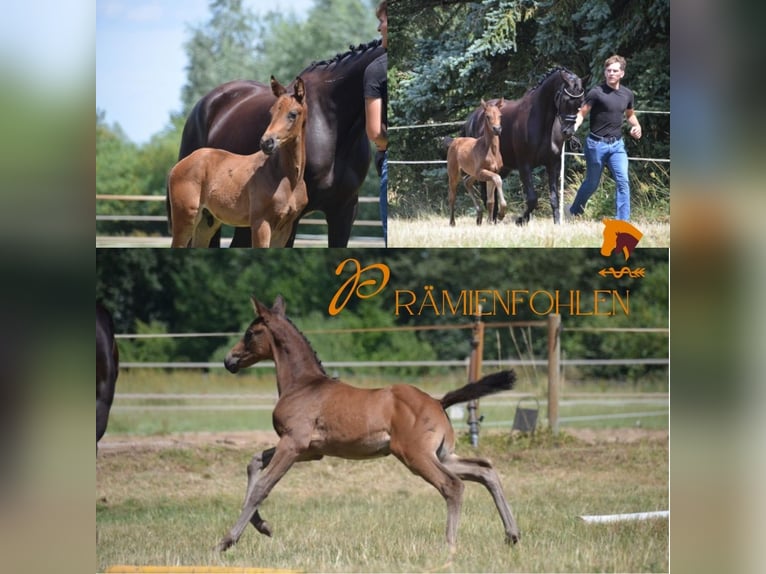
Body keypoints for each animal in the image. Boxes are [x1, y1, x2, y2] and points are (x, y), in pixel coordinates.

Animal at [168, 77, 308, 248]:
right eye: (272, 112)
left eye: (292, 114)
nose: (266, 143)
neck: (286, 177)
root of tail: (179, 165)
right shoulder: (261, 223)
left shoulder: (285, 228)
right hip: (186, 218)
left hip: (205, 223)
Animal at [216, 295, 521, 554]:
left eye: (250, 333)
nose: (228, 360)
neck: (303, 385)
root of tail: (437, 401)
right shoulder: (310, 451)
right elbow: (254, 462)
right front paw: (263, 526)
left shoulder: (293, 443)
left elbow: (262, 487)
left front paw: (227, 540)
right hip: (442, 454)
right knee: (484, 470)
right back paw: (512, 534)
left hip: (416, 456)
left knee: (454, 485)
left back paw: (450, 546)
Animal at [462, 67, 584, 225]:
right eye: (564, 99)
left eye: (580, 102)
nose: (568, 132)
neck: (541, 121)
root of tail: (473, 117)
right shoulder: (524, 165)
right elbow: (532, 199)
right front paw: (520, 220)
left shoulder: (553, 165)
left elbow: (554, 197)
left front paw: (557, 223)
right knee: (484, 192)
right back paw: (492, 218)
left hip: (502, 168)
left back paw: (494, 218)